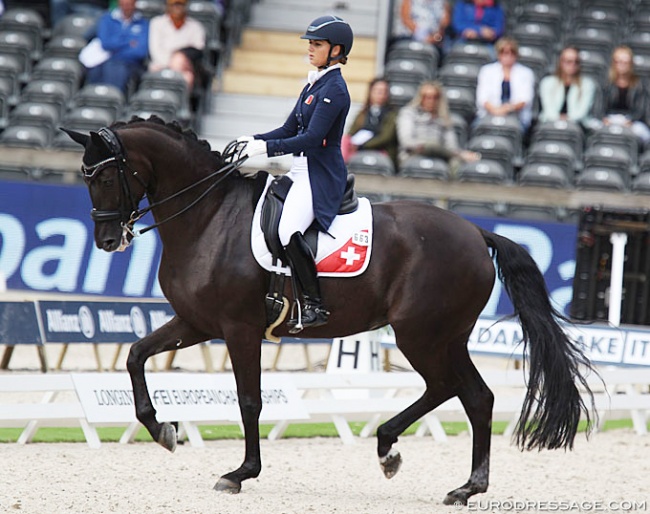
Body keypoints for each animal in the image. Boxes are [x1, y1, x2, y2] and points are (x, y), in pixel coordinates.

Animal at [63, 117, 596, 504]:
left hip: (421, 334)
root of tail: (476, 231)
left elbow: (250, 400)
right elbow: (135, 355)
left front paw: (241, 473)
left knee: (454, 389)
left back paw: (410, 458)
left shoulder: (239, 328)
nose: (107, 240)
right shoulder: (195, 322)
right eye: (86, 178)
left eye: (106, 175)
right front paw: (162, 430)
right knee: (473, 396)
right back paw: (450, 479)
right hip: (444, 336)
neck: (209, 217)